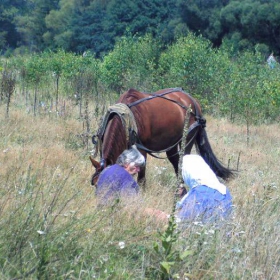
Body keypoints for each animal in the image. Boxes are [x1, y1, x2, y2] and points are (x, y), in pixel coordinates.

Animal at [90, 88, 234, 186]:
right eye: (95, 184)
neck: (125, 117)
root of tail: (193, 101)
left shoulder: (142, 150)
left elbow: (141, 178)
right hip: (171, 144)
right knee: (176, 164)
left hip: (187, 141)